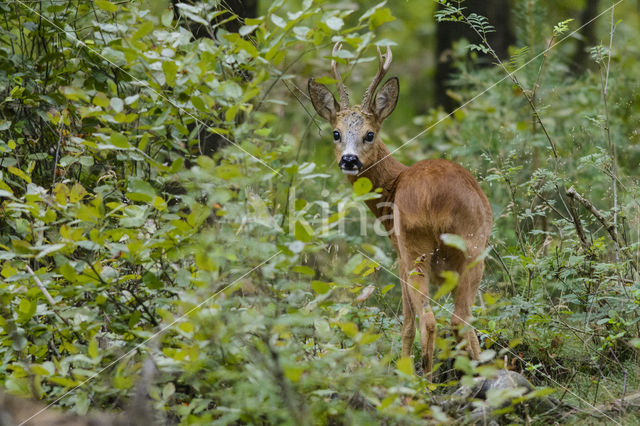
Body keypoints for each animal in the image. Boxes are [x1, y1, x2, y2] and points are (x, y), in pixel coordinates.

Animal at [308, 42, 492, 376]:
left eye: (369, 133)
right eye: (336, 133)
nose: (349, 160)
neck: (394, 183)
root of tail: (436, 198)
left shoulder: (398, 250)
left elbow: (406, 323)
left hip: (415, 246)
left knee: (428, 319)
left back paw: (424, 376)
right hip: (474, 247)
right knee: (460, 318)